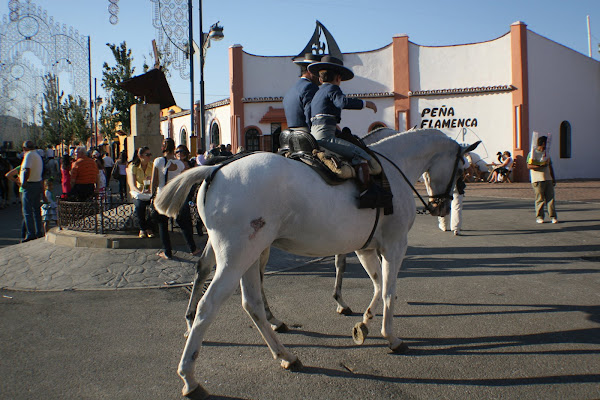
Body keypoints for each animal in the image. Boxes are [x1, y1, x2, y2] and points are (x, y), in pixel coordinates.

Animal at [157, 130, 480, 398]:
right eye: (461, 168)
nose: (441, 206)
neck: (393, 169)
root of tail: (215, 169)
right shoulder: (395, 245)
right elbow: (389, 291)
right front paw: (391, 336)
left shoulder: (364, 248)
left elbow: (377, 286)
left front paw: (364, 323)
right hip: (236, 258)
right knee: (208, 305)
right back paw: (190, 376)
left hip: (249, 256)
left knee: (251, 303)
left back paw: (286, 356)